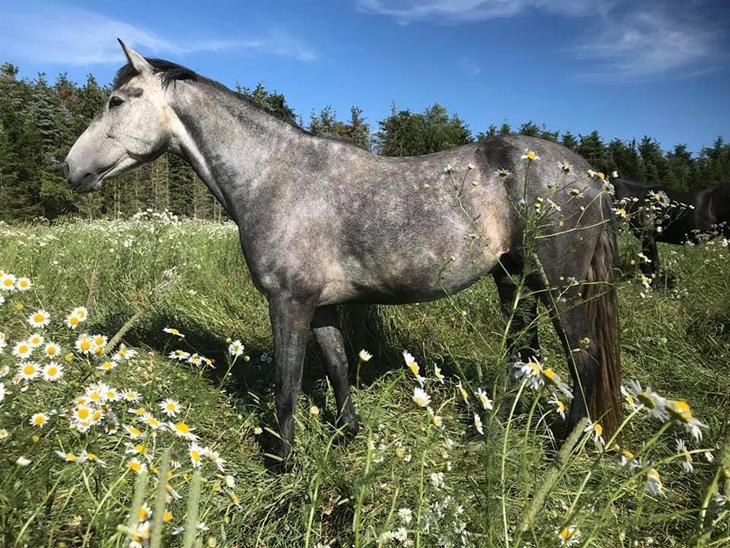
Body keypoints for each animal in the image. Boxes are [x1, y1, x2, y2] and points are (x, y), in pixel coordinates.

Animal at [64, 40, 621, 461]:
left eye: (117, 101)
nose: (70, 168)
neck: (275, 176)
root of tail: (591, 177)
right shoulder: (323, 305)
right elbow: (336, 366)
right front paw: (347, 435)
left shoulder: (288, 302)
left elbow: (287, 387)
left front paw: (283, 463)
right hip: (514, 281)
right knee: (526, 361)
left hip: (562, 288)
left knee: (584, 362)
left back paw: (564, 450)